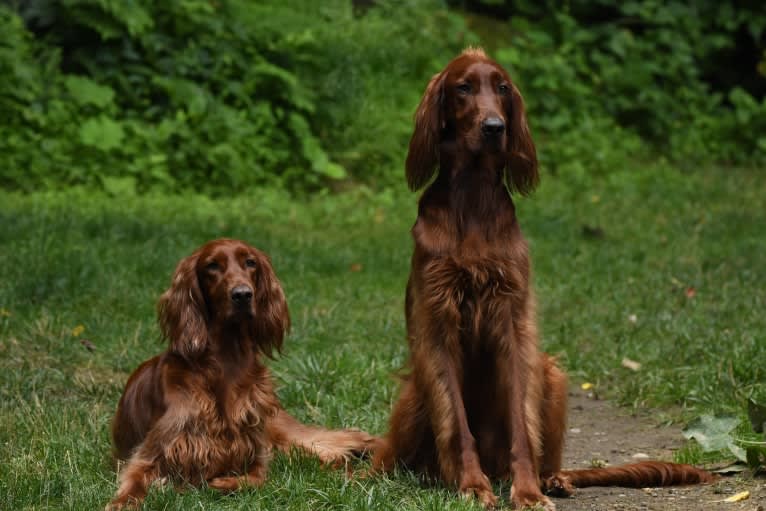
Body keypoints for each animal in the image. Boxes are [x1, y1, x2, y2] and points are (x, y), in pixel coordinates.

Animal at [108, 238, 376, 510]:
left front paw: (220, 483)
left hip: (287, 435)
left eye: (250, 262)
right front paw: (122, 502)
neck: (227, 362)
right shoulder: (152, 451)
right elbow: (135, 480)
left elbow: (256, 479)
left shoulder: (256, 453)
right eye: (212, 265)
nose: (243, 294)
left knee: (348, 440)